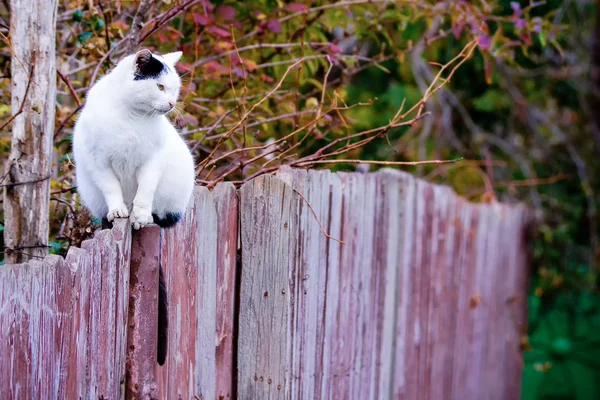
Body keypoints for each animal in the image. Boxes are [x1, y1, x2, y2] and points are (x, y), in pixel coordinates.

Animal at [72, 48, 195, 231]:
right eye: (160, 87)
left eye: (175, 89)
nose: (172, 103)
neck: (133, 116)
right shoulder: (98, 162)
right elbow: (111, 188)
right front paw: (117, 210)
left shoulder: (152, 161)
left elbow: (146, 190)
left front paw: (141, 216)